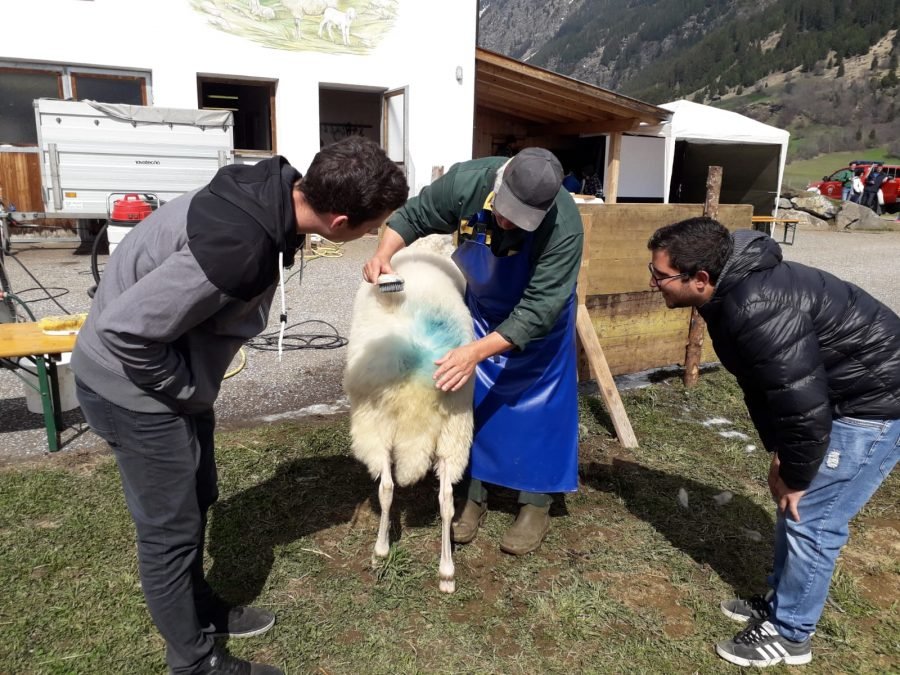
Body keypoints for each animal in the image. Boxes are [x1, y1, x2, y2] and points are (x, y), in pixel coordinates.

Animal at [342, 236, 474, 592]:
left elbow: (387, 489)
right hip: (455, 430)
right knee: (446, 500)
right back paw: (447, 572)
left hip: (375, 424)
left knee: (387, 488)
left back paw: (380, 552)